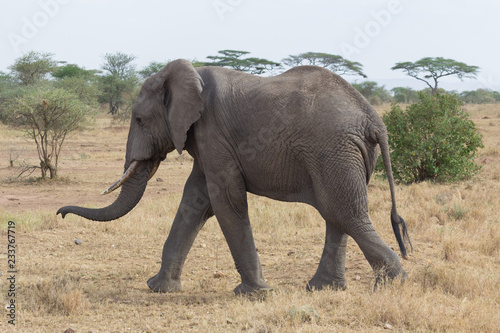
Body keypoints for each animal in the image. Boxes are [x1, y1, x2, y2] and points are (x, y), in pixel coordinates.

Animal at [57, 59, 410, 294]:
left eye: (140, 120)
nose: (60, 213)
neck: (190, 75)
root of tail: (373, 121)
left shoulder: (213, 131)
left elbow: (226, 200)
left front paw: (253, 293)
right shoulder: (204, 138)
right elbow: (194, 202)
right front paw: (159, 289)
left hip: (333, 150)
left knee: (344, 213)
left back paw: (396, 284)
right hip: (343, 153)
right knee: (337, 214)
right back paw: (322, 289)